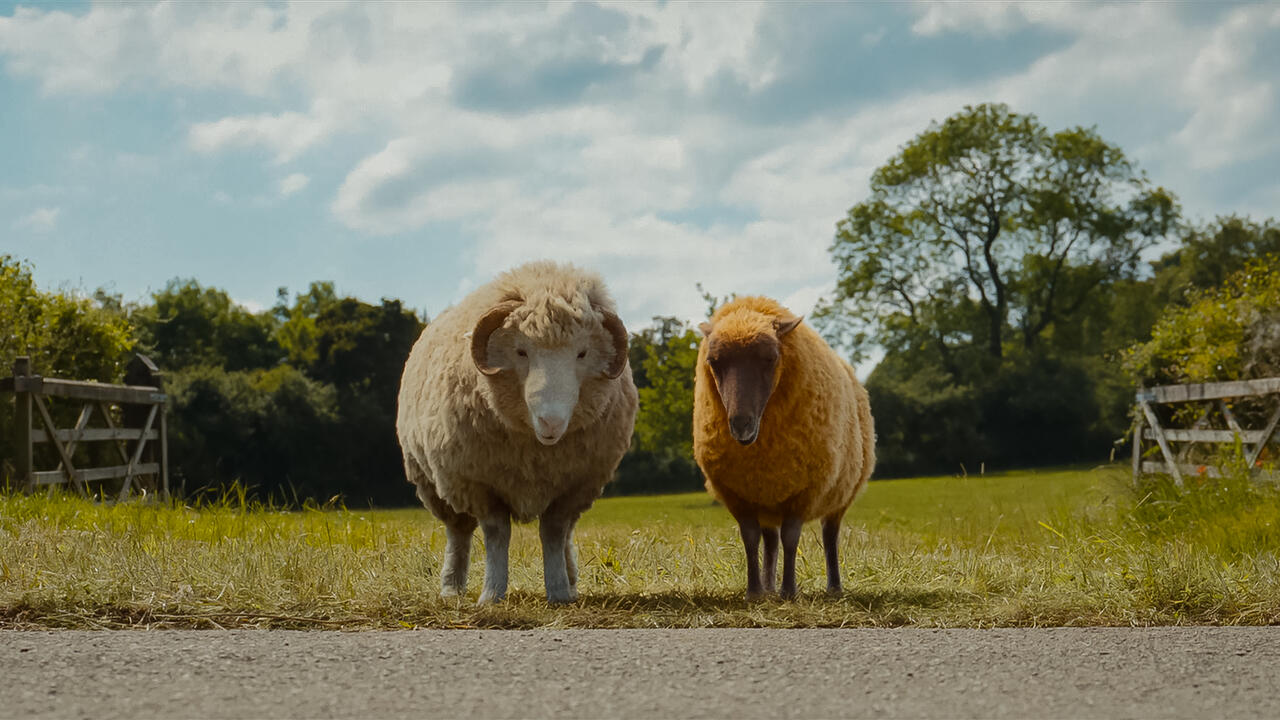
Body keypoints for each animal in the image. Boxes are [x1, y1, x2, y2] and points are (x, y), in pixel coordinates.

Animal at [396, 261, 638, 604]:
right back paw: (452, 587)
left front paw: (559, 591)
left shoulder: (573, 487)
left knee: (566, 535)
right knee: (458, 533)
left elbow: (553, 533)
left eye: (582, 354)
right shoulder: (480, 485)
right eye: (521, 352)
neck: (536, 451)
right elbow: (497, 534)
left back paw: (571, 580)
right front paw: (492, 593)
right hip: (436, 484)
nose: (551, 422)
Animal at [693, 295, 875, 599]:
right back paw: (768, 587)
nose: (740, 424)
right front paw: (754, 591)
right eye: (714, 362)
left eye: (770, 358)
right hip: (767, 497)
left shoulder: (804, 491)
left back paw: (834, 587)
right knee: (769, 541)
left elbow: (791, 538)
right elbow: (750, 539)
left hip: (840, 494)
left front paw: (789, 591)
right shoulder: (738, 495)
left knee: (830, 536)